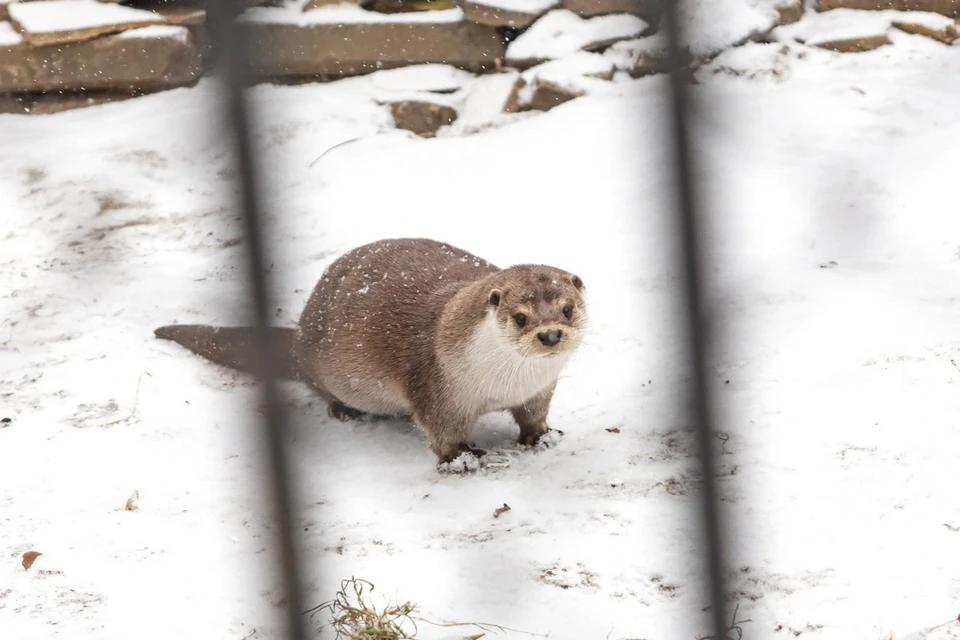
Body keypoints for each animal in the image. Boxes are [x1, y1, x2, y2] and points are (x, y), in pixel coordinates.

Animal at [155, 238, 588, 472]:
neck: (504, 383)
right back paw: (344, 410)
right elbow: (442, 430)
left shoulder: (539, 388)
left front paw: (541, 436)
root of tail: (299, 335)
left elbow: (534, 414)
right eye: (520, 317)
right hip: (321, 369)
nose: (551, 334)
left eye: (567, 309)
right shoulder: (436, 384)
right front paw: (460, 459)